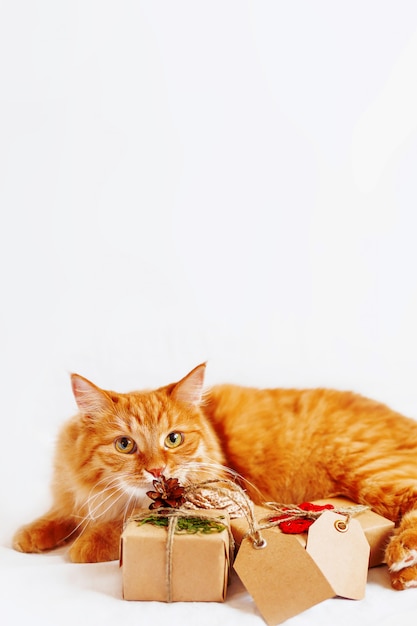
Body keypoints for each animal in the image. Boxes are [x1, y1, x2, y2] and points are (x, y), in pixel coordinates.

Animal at [13, 364, 417, 588]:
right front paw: (31, 534)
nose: (157, 469)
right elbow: (61, 513)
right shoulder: (73, 491)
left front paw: (86, 542)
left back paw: (402, 559)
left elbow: (115, 526)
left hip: (369, 470)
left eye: (173, 439)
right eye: (125, 445)